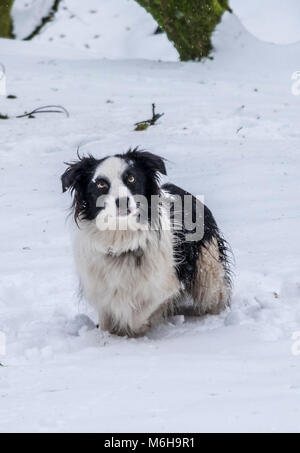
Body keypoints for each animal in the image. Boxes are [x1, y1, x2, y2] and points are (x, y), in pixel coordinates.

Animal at [60, 148, 230, 336]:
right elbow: (107, 320)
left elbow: (139, 315)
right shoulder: (101, 289)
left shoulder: (165, 284)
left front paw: (136, 329)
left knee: (212, 298)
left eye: (131, 178)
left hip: (207, 271)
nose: (123, 201)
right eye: (101, 185)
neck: (121, 238)